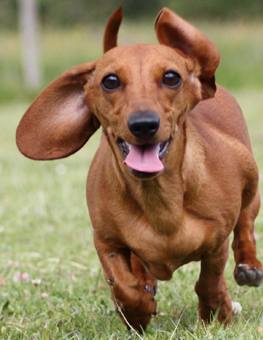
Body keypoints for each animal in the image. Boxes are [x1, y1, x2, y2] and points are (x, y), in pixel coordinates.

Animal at [16, 6, 263, 332]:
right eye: (110, 81)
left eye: (171, 77)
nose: (144, 124)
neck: (159, 200)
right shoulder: (105, 241)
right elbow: (121, 283)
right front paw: (136, 311)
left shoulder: (216, 241)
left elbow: (209, 280)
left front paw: (216, 313)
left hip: (250, 178)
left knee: (246, 223)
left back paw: (249, 265)